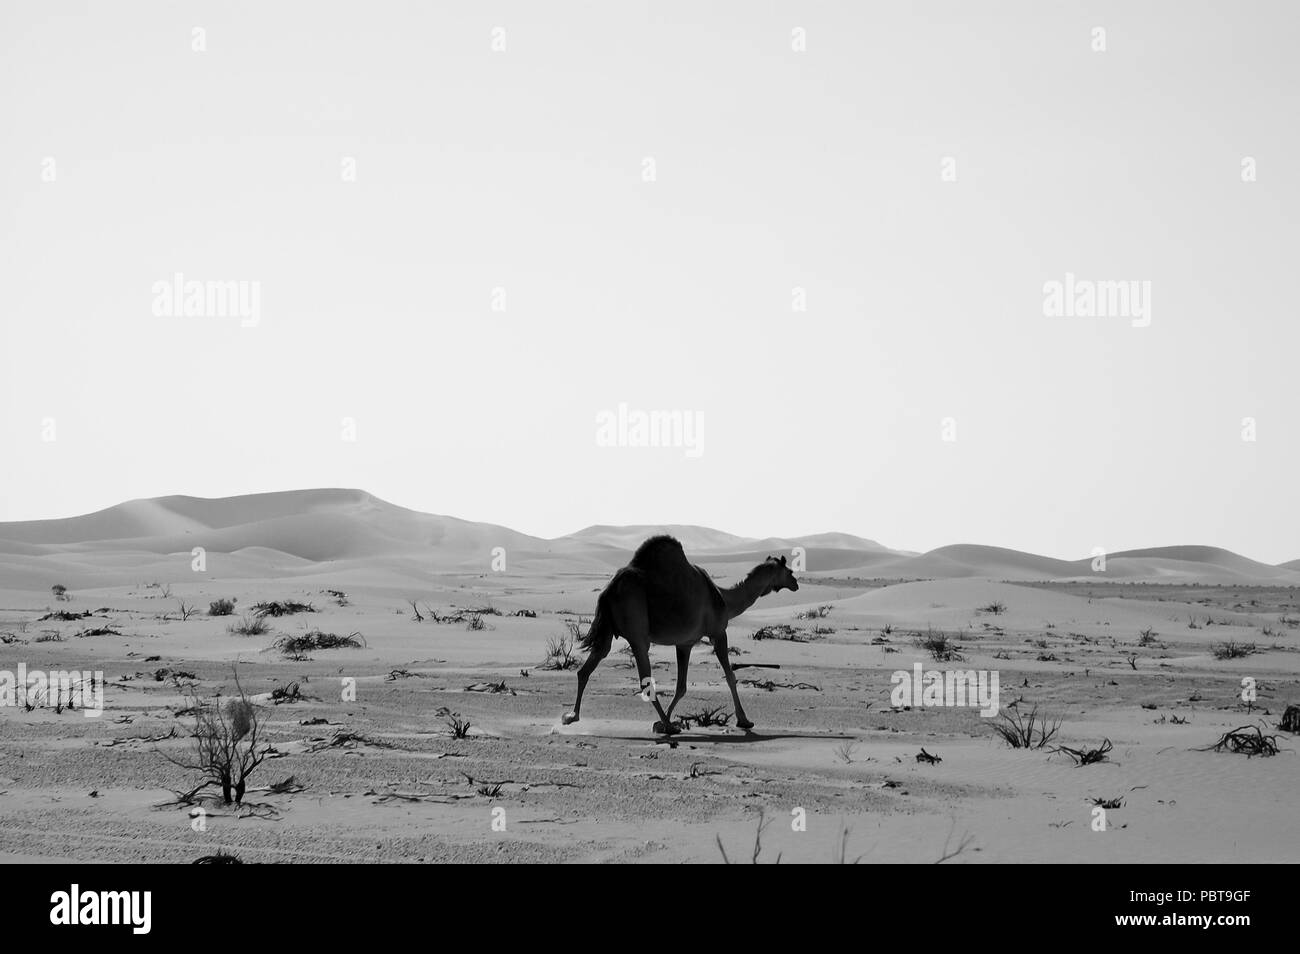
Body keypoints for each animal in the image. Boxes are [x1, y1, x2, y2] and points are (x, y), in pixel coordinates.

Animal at [561, 540, 795, 738]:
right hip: (637, 630)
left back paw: (571, 717)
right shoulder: (719, 633)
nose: (796, 583)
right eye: (790, 571)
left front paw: (660, 723)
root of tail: (608, 590)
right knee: (644, 678)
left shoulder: (685, 643)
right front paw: (744, 720)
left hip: (608, 631)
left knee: (588, 667)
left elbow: (681, 686)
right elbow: (730, 676)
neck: (724, 599)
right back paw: (670, 726)